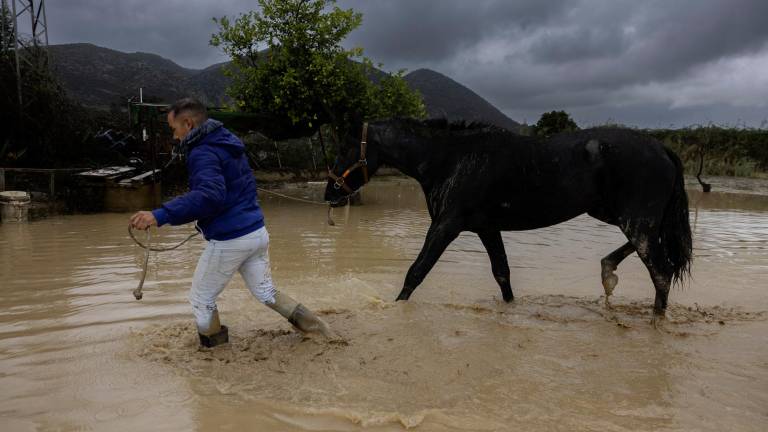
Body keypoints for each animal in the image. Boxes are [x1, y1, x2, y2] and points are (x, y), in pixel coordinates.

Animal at [320, 118, 692, 318]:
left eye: (345, 148)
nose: (330, 194)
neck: (450, 158)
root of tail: (661, 148)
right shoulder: (487, 228)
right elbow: (502, 275)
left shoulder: (446, 226)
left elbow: (416, 272)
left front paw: (395, 307)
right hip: (612, 213)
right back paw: (608, 271)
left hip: (635, 219)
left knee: (661, 271)